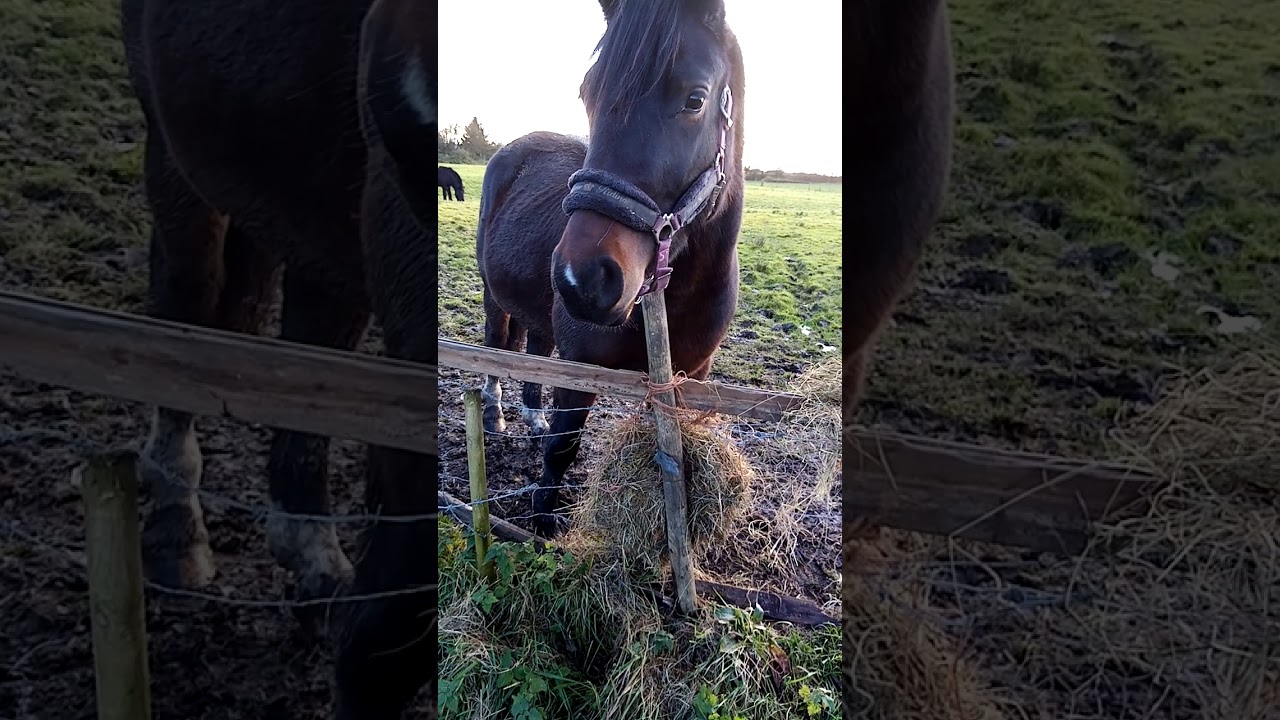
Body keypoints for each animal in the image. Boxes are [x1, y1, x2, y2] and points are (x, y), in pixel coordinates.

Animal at [121, 0, 437, 716]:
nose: (404, 101)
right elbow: (383, 646)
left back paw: (310, 557)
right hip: (177, 162)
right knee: (185, 308)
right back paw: (175, 530)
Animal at [476, 0, 747, 538]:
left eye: (695, 99)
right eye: (588, 92)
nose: (582, 280)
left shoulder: (688, 378)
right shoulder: (581, 368)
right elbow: (562, 450)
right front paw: (542, 526)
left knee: (533, 350)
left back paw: (532, 416)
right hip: (494, 297)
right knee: (498, 345)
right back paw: (495, 414)